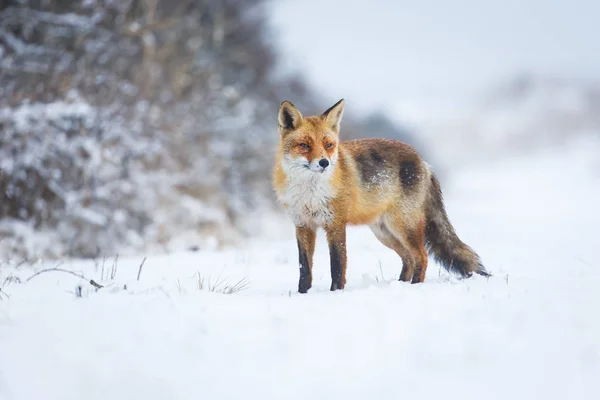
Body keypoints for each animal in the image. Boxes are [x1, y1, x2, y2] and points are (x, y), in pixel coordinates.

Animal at [274, 99, 490, 294]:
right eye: (304, 145)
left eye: (328, 145)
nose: (324, 163)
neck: (309, 193)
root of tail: (423, 161)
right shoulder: (303, 225)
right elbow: (304, 268)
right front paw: (302, 294)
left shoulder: (335, 224)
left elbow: (337, 266)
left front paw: (335, 293)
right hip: (385, 233)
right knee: (408, 259)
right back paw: (401, 284)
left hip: (403, 226)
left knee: (421, 256)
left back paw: (414, 287)